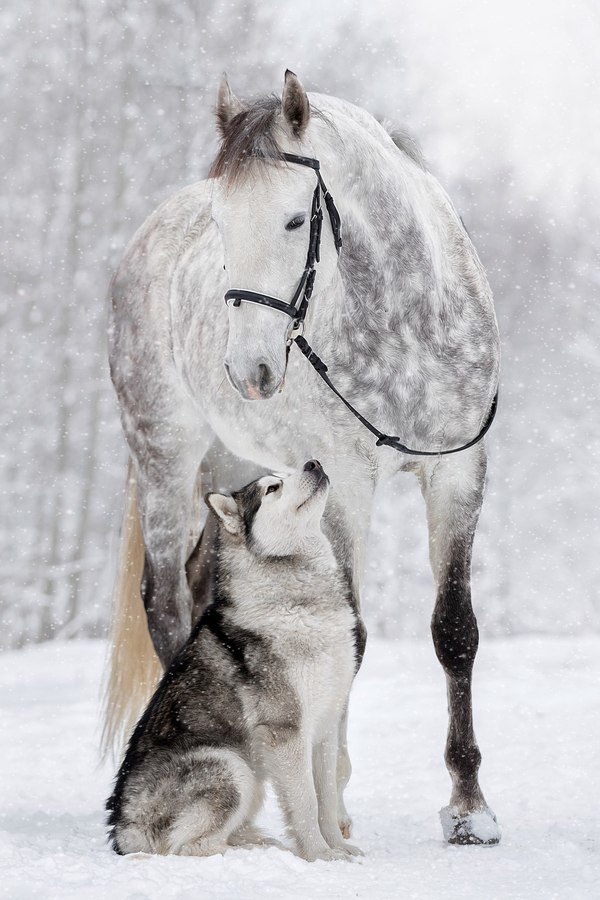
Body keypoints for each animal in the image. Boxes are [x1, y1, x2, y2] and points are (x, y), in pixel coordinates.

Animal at [104, 70, 501, 845]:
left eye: (295, 220)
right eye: (222, 223)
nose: (249, 369)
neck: (408, 319)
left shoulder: (457, 473)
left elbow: (455, 631)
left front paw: (470, 809)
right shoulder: (346, 484)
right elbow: (353, 633)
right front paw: (334, 803)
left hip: (232, 474)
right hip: (166, 462)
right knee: (165, 604)